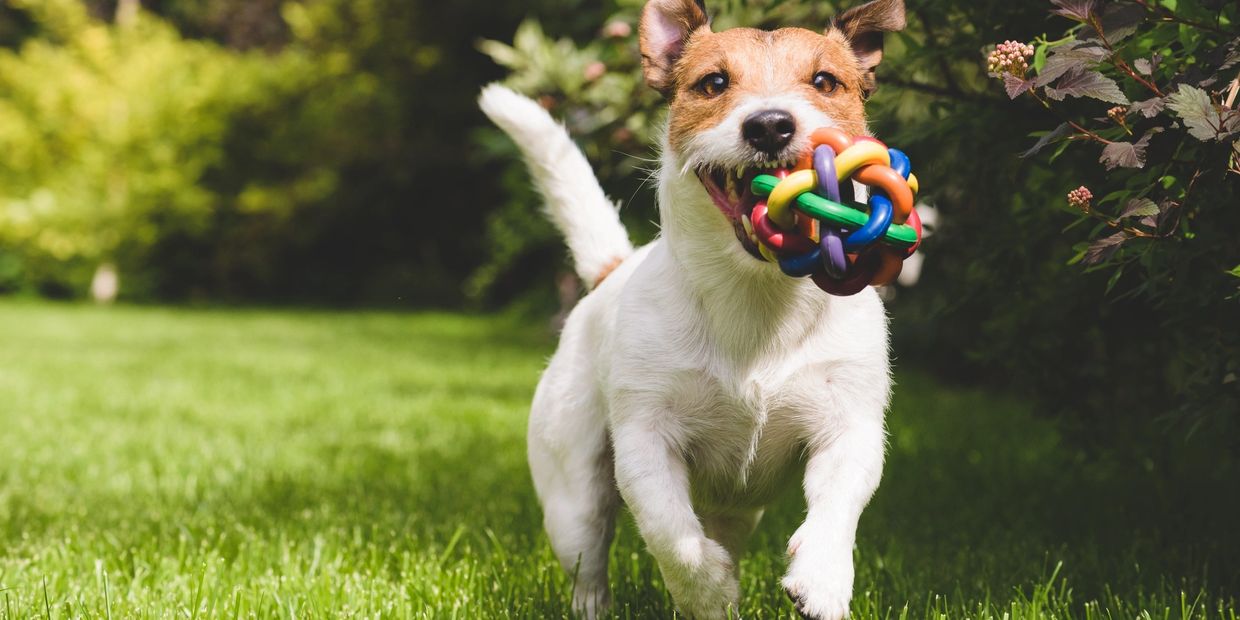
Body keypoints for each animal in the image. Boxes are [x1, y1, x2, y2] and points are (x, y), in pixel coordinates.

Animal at [478, 2, 907, 617]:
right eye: (714, 83)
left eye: (826, 82)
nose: (769, 125)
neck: (755, 296)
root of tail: (612, 270)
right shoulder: (645, 439)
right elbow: (669, 532)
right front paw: (706, 589)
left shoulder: (849, 425)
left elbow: (839, 503)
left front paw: (823, 578)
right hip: (573, 497)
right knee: (589, 565)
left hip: (736, 507)